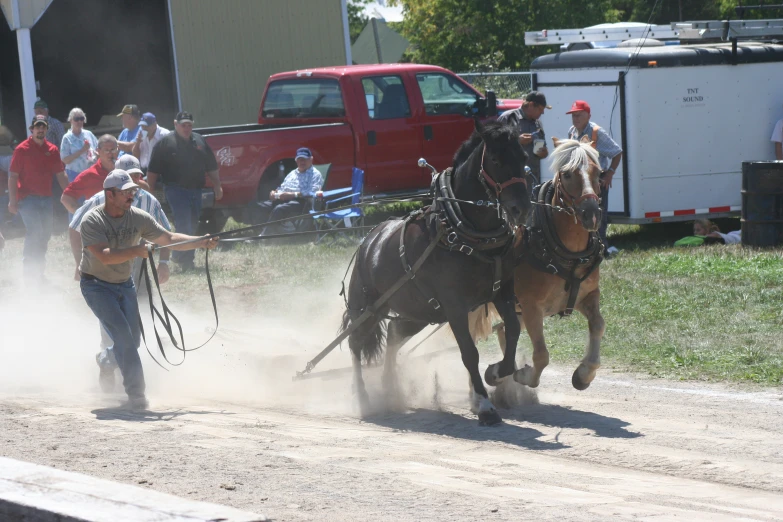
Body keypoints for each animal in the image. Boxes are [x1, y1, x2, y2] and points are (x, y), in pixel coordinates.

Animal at [342, 119, 532, 422]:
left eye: (523, 157)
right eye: (495, 159)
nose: (521, 208)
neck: (466, 233)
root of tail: (369, 241)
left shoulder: (502, 290)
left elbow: (513, 330)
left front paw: (496, 372)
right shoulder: (455, 306)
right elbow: (469, 353)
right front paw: (484, 404)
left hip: (420, 312)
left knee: (394, 335)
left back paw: (390, 388)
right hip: (368, 309)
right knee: (356, 343)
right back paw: (362, 397)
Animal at [472, 136, 608, 392]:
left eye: (599, 173)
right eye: (567, 174)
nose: (592, 214)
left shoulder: (586, 295)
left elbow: (598, 324)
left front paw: (584, 373)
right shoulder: (531, 306)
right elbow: (542, 355)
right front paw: (525, 376)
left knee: (504, 332)